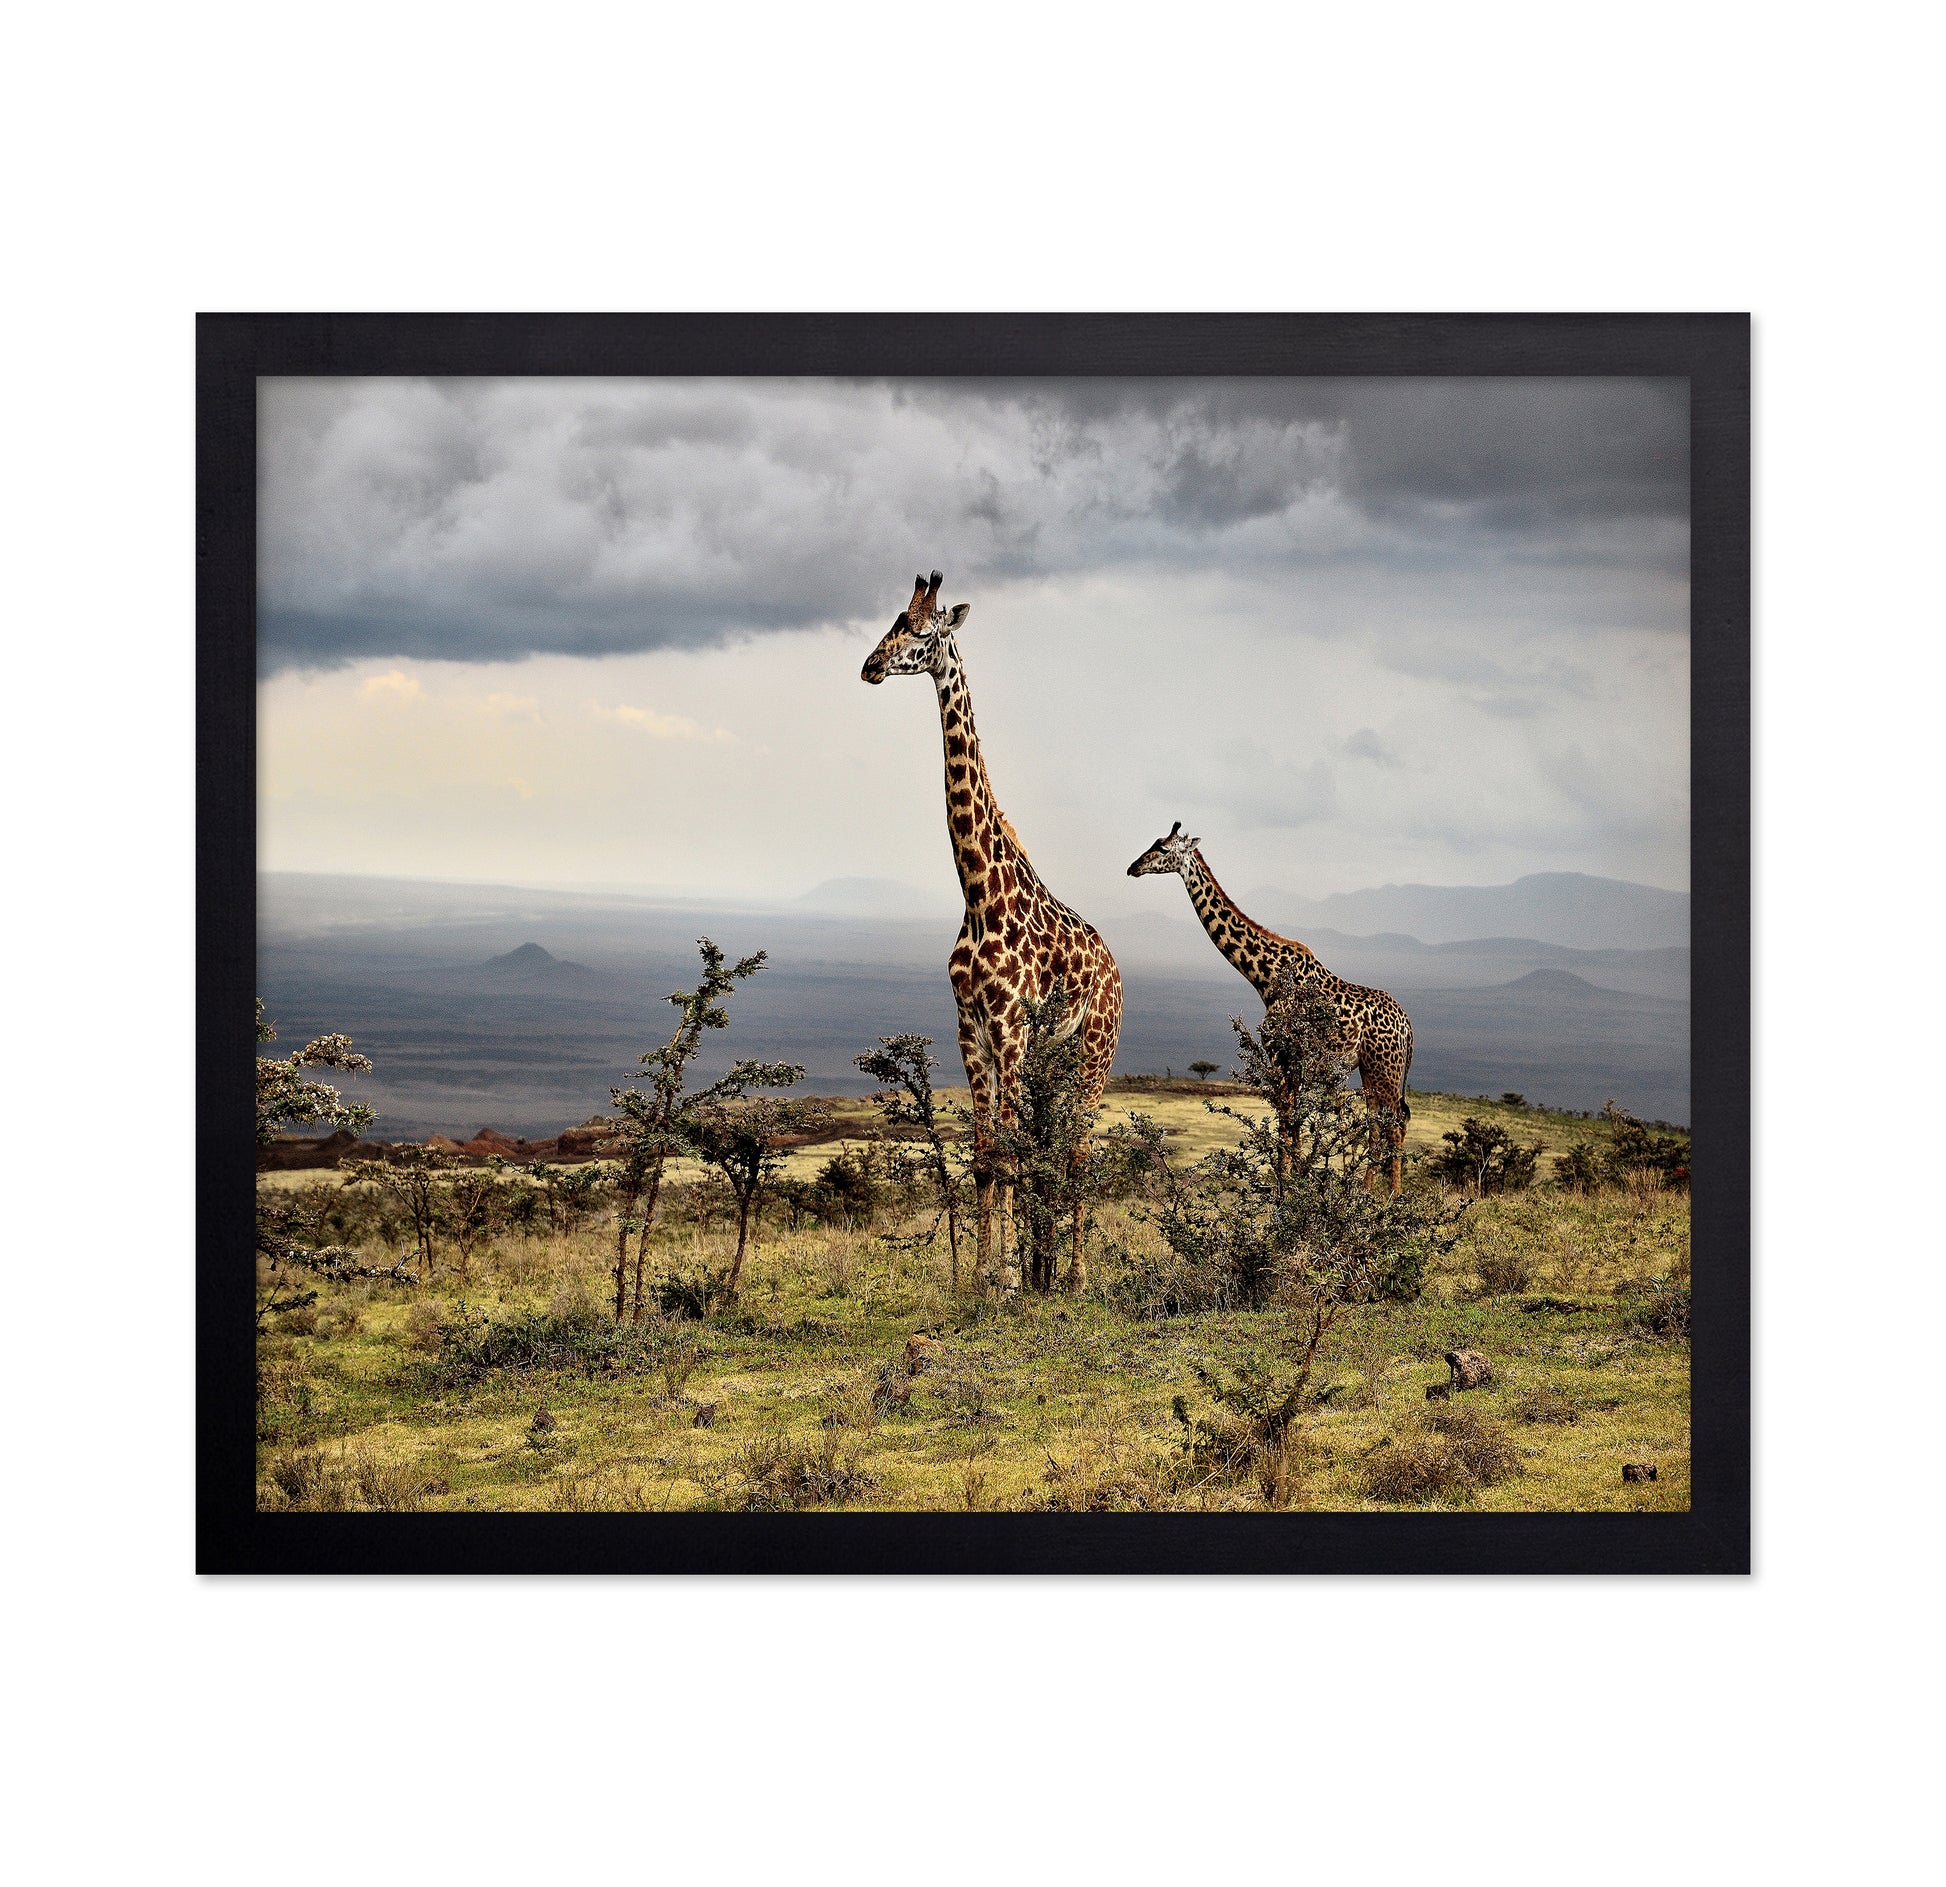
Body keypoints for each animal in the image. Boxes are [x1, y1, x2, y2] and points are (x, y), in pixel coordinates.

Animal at [862, 571, 1123, 1293]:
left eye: (924, 632)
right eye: (893, 619)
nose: (870, 666)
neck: (978, 893)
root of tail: (1115, 965)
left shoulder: (1008, 1029)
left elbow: (1005, 1154)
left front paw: (1003, 1281)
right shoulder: (970, 1030)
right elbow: (986, 1157)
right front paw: (983, 1277)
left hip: (1093, 1051)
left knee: (1078, 1148)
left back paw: (1074, 1277)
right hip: (1050, 1058)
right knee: (1049, 1147)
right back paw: (1045, 1268)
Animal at [1127, 821, 1415, 1194]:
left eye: (1163, 849)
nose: (1133, 867)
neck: (1265, 976)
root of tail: (1408, 1027)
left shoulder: (1280, 1054)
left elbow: (1286, 1123)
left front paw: (1285, 1189)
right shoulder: (1292, 1062)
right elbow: (1292, 1126)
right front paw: (1291, 1185)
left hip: (1386, 1069)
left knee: (1395, 1123)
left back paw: (1392, 1196)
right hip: (1370, 1068)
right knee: (1379, 1123)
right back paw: (1364, 1192)